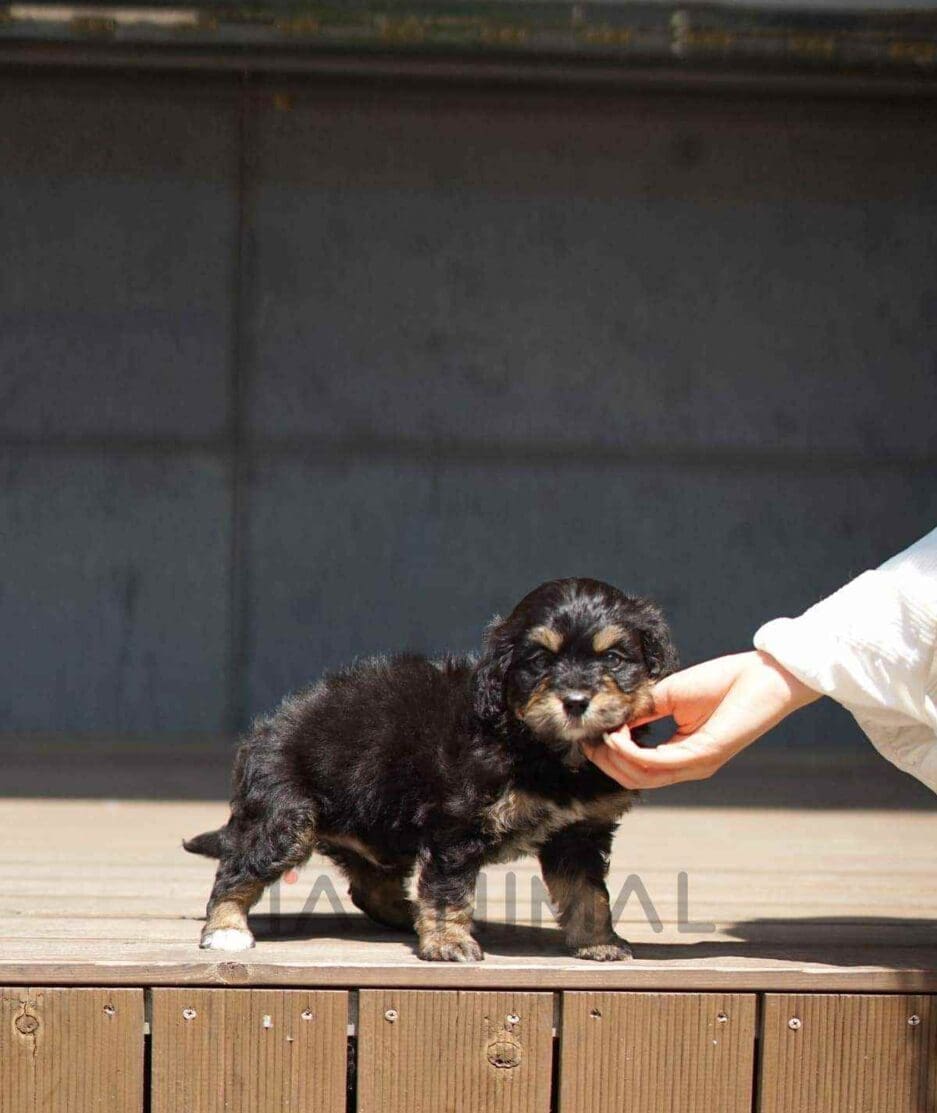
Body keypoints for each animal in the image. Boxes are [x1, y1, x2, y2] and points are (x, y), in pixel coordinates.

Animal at [184, 578, 672, 961]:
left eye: (613, 658)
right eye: (538, 661)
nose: (575, 701)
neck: (544, 749)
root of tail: (265, 730)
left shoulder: (578, 832)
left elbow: (588, 893)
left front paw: (598, 942)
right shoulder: (456, 824)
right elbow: (449, 888)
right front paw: (448, 943)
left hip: (386, 827)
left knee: (370, 885)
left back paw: (408, 914)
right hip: (286, 817)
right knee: (238, 868)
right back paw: (226, 929)